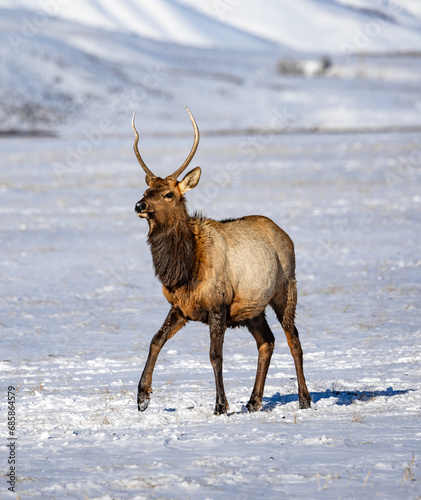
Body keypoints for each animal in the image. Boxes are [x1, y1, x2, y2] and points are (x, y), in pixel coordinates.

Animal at [133, 107, 310, 416]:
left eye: (168, 193)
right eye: (146, 192)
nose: (139, 205)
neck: (184, 270)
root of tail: (285, 235)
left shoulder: (218, 304)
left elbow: (215, 355)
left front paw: (221, 405)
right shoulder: (181, 306)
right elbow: (155, 340)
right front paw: (142, 397)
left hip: (285, 290)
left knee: (294, 341)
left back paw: (304, 399)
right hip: (252, 308)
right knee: (267, 341)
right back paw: (254, 401)